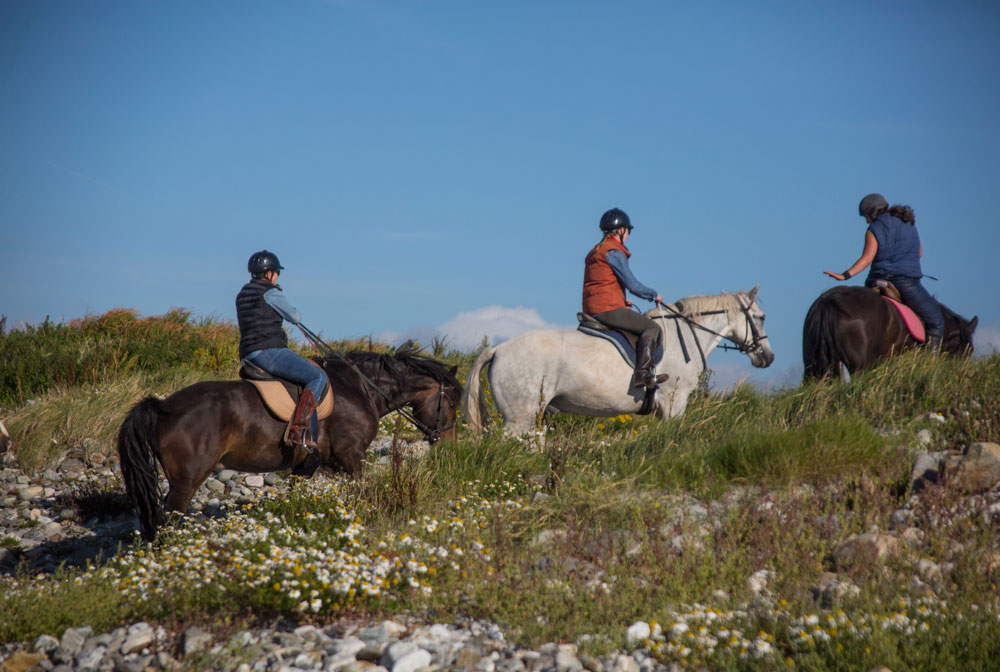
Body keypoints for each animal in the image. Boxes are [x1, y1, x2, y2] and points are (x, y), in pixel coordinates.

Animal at [117, 350, 460, 540]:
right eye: (453, 402)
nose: (450, 444)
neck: (361, 388)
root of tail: (163, 406)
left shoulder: (304, 467)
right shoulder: (353, 456)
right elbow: (365, 493)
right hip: (186, 482)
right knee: (168, 520)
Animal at [464, 288, 776, 436]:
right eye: (761, 317)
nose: (768, 357)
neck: (686, 335)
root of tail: (499, 349)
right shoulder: (674, 402)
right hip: (520, 418)